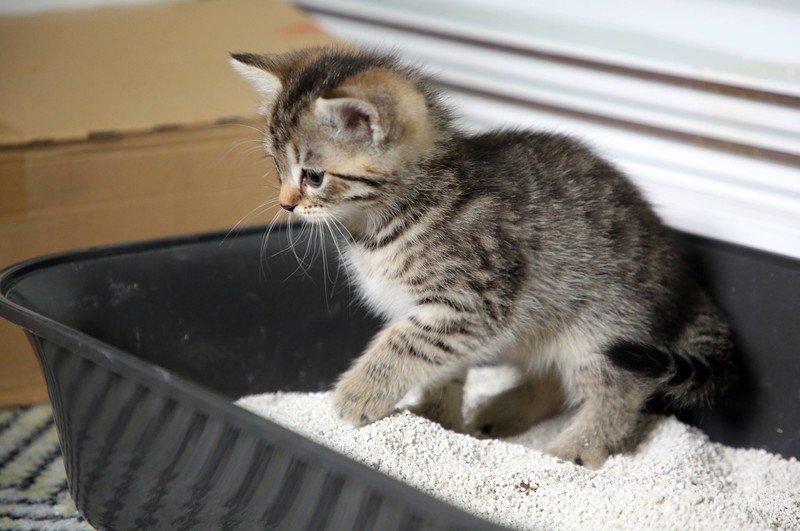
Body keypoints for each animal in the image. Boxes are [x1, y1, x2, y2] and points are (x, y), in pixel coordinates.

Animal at [228, 47, 736, 468]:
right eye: (276, 167)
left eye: (313, 176)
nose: (286, 205)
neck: (397, 215)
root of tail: (687, 284)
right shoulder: (449, 319)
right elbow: (438, 363)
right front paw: (436, 420)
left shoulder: (473, 301)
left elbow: (403, 343)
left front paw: (357, 394)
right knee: (553, 382)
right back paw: (503, 412)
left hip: (604, 328)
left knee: (621, 390)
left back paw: (575, 450)